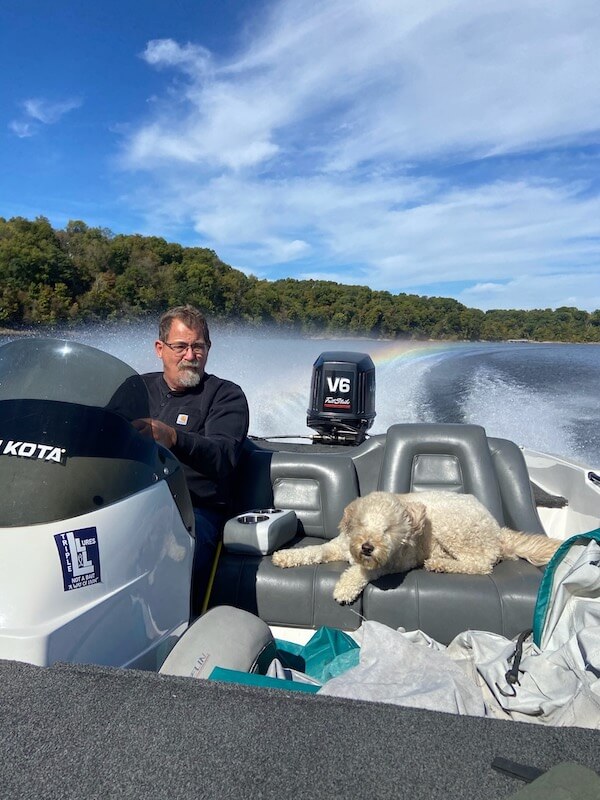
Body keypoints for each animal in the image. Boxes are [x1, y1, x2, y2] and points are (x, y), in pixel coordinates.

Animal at [272, 488, 564, 608]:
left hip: (454, 527)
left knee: (481, 564)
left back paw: (441, 563)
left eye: (388, 529)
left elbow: (362, 573)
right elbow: (315, 551)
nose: (367, 547)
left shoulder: (389, 564)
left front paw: (344, 588)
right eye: (362, 523)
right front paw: (286, 555)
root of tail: (497, 530)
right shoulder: (339, 545)